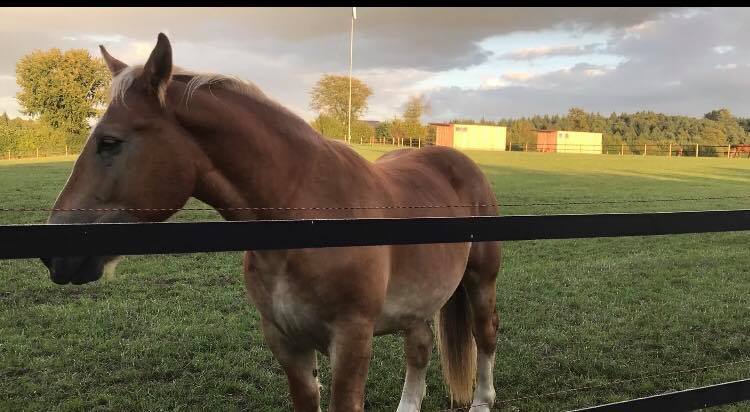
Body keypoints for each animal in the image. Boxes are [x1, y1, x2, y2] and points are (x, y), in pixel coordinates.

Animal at [38, 33, 502, 410]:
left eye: (109, 142)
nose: (53, 252)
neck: (308, 219)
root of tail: (455, 158)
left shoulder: (352, 340)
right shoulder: (286, 342)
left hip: (481, 281)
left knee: (485, 336)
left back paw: (482, 401)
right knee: (420, 347)